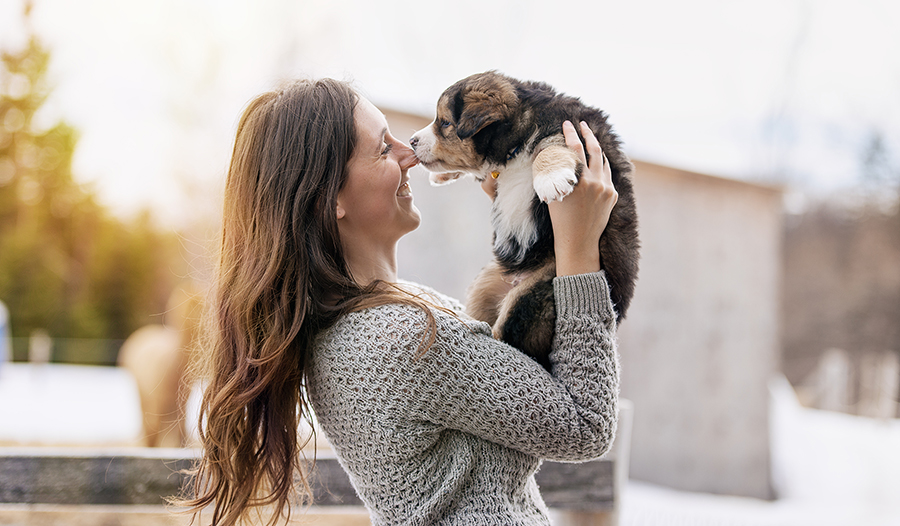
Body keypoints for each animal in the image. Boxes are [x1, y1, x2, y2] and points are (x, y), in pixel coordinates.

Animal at [412, 71, 636, 372]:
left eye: (445, 123)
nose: (411, 140)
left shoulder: (574, 132)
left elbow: (549, 146)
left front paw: (551, 179)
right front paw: (441, 175)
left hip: (537, 291)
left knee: (514, 341)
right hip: (486, 283)